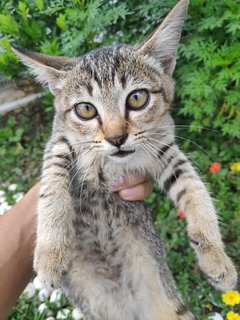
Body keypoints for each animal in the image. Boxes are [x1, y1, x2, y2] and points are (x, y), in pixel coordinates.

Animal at [12, 0, 236, 320]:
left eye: (137, 98)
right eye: (85, 110)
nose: (116, 138)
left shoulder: (164, 149)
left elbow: (194, 188)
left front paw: (216, 257)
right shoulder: (59, 141)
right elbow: (52, 185)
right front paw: (50, 254)